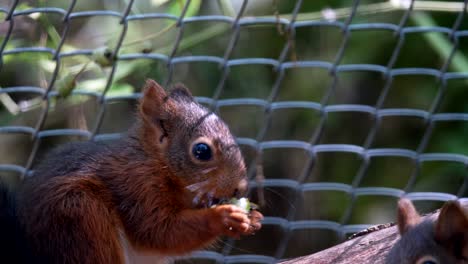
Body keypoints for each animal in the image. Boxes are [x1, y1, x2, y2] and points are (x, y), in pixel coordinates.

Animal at [0, 80, 264, 264]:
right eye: (201, 151)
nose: (240, 188)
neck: (156, 163)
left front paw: (254, 219)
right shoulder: (136, 186)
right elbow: (158, 231)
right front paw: (224, 217)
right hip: (80, 216)